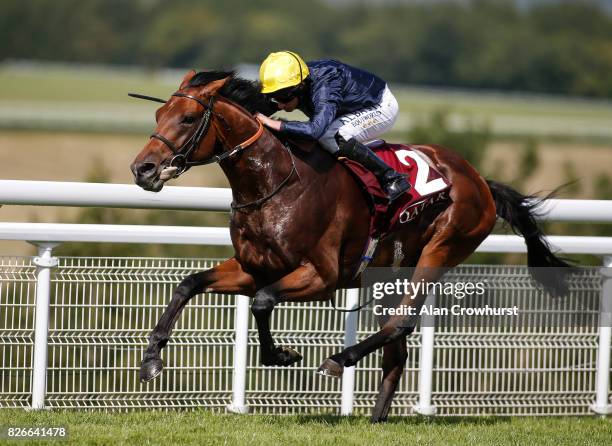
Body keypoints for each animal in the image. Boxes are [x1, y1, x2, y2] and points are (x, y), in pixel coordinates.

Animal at [128, 69, 568, 422]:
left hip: (440, 250)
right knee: (396, 348)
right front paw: (151, 360)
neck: (275, 181)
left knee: (400, 323)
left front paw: (281, 355)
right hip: (390, 272)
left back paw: (340, 360)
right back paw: (375, 418)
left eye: (187, 118)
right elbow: (189, 284)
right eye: (158, 116)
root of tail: (479, 180)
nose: (142, 169)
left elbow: (263, 302)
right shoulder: (252, 268)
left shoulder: (321, 277)